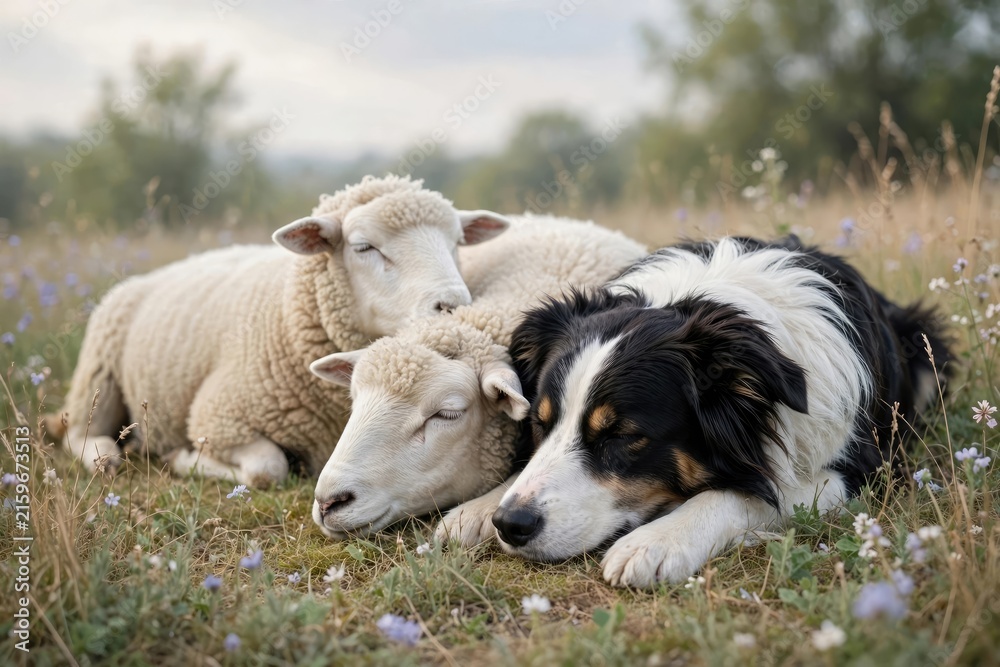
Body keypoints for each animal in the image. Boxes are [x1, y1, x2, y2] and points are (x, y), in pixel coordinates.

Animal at [59, 175, 512, 485]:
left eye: (457, 242)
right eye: (364, 247)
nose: (453, 303)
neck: (288, 319)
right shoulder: (216, 416)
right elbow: (267, 468)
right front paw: (185, 459)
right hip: (98, 374)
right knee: (80, 433)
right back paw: (106, 455)